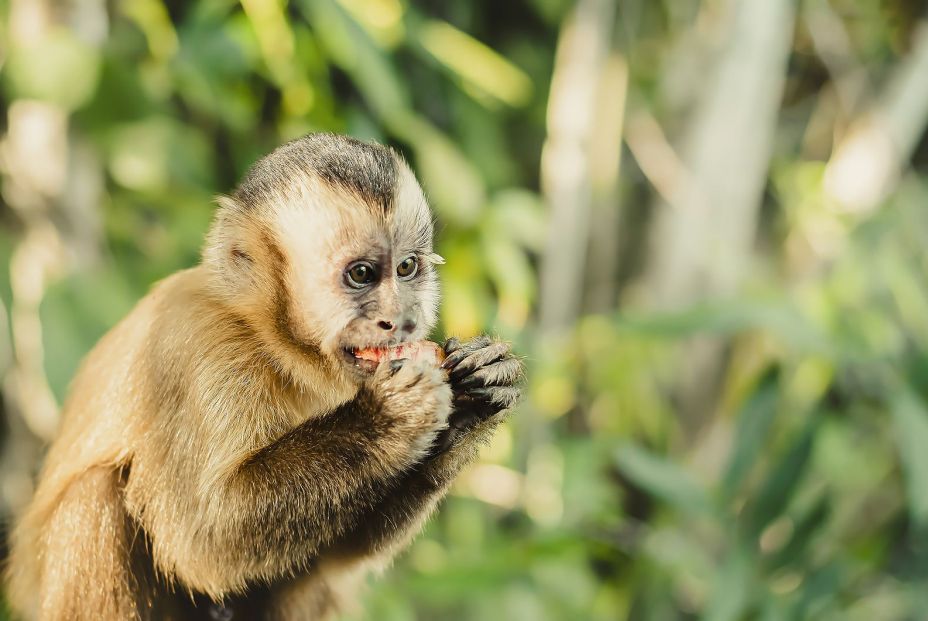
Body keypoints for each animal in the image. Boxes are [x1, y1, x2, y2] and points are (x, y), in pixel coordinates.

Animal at [5, 133, 520, 616]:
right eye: (361, 274)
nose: (403, 321)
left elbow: (337, 556)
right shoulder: (198, 347)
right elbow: (204, 542)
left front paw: (474, 402)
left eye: (407, 267)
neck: (270, 341)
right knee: (98, 491)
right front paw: (388, 417)